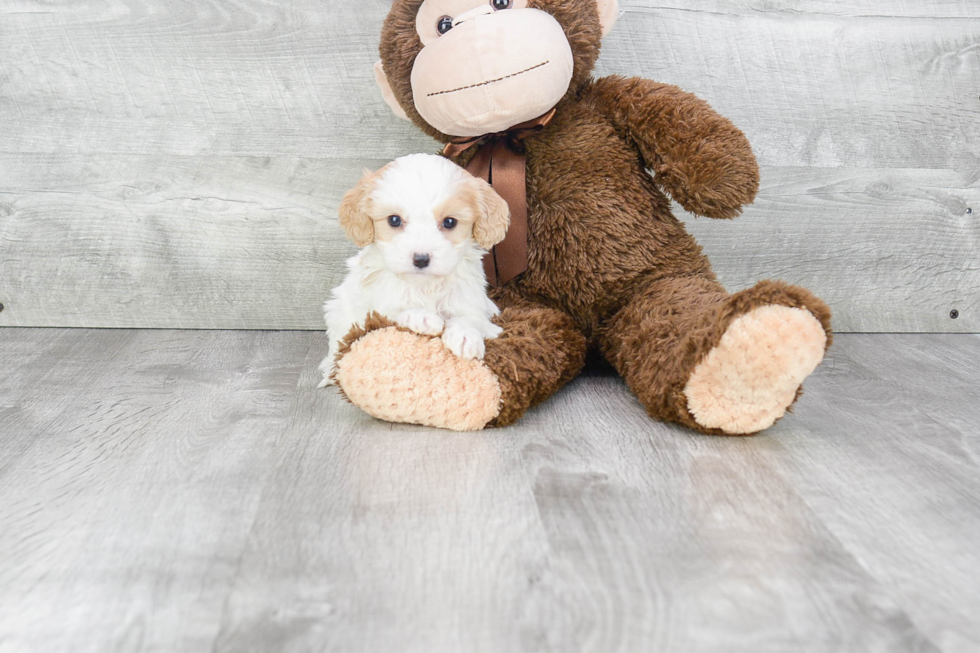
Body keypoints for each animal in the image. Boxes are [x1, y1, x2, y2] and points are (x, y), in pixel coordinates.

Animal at [318, 153, 510, 388]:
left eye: (449, 222)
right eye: (394, 220)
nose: (420, 259)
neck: (424, 284)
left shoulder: (470, 300)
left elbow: (470, 317)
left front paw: (465, 336)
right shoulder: (376, 303)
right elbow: (392, 312)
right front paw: (422, 318)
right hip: (338, 309)